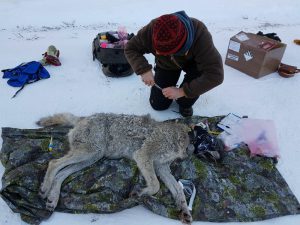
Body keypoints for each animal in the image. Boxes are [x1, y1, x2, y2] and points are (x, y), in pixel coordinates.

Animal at [36, 113, 195, 224]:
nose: (189, 154)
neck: (175, 138)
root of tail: (83, 118)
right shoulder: (143, 156)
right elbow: (155, 185)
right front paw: (139, 192)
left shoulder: (161, 168)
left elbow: (179, 190)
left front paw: (185, 212)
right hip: (88, 153)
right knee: (53, 163)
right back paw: (45, 189)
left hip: (91, 157)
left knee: (61, 174)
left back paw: (52, 199)